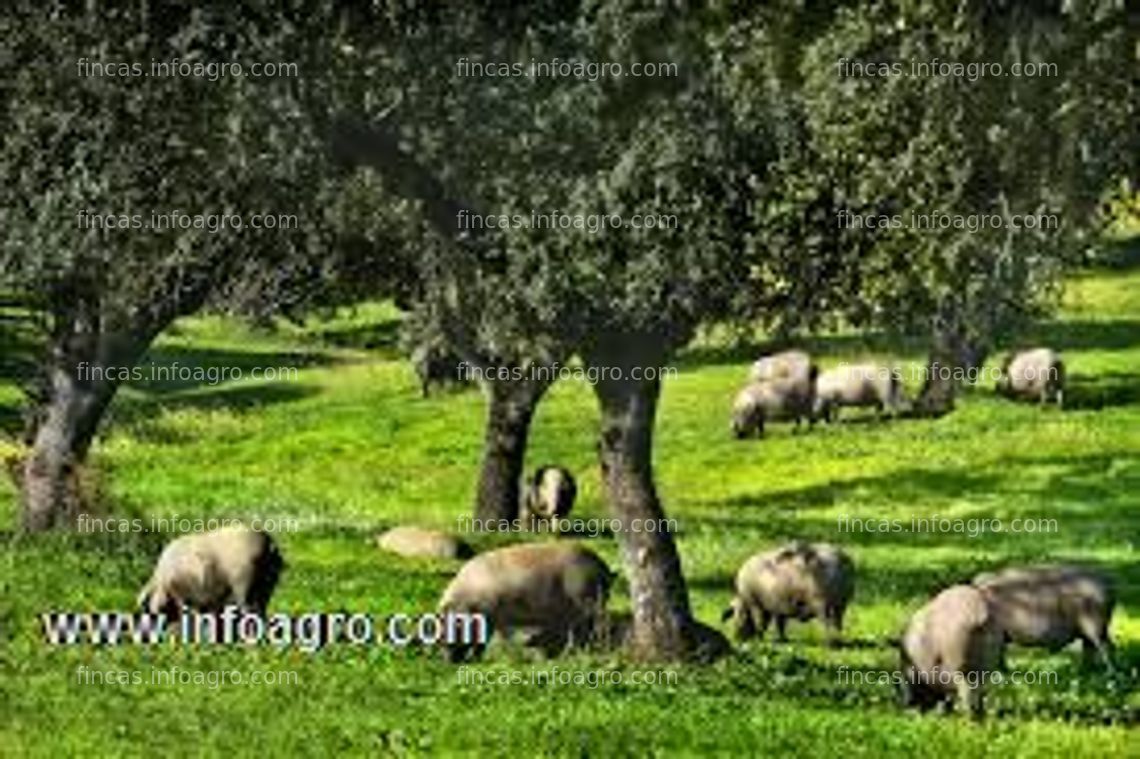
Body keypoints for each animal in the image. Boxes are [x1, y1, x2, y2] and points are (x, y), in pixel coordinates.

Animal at [435, 540, 615, 660]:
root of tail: (603, 567)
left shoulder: (491, 616)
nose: (448, 661)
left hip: (588, 600)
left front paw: (477, 659)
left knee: (595, 627)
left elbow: (483, 640)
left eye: (448, 632)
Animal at [720, 540, 857, 642]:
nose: (736, 638)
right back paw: (838, 640)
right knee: (838, 623)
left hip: (822, 604)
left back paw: (829, 643)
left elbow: (762, 623)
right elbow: (779, 624)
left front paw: (760, 638)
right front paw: (782, 639)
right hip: (841, 604)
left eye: (738, 615)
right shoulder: (778, 607)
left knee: (827, 623)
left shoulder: (759, 606)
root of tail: (843, 560)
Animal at [898, 578, 1007, 715]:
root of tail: (980, 616)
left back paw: (968, 716)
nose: (908, 705)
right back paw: (979, 712)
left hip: (961, 666)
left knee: (967, 692)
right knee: (980, 689)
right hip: (987, 663)